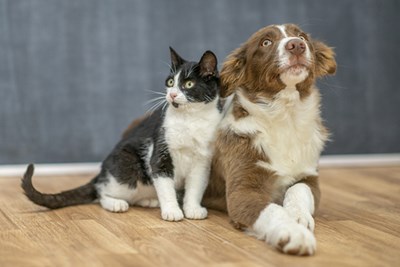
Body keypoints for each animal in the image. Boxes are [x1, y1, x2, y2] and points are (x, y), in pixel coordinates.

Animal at [21, 47, 223, 222]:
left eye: (189, 84)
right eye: (170, 82)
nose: (172, 94)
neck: (191, 119)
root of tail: (101, 172)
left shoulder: (203, 160)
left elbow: (196, 186)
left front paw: (193, 209)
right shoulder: (159, 152)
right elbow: (165, 186)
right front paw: (172, 211)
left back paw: (149, 200)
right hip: (127, 166)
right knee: (101, 191)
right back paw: (116, 203)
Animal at [203, 24, 338, 256]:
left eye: (302, 36)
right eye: (265, 42)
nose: (297, 45)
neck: (284, 116)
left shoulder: (309, 177)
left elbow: (298, 189)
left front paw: (297, 216)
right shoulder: (243, 190)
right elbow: (271, 210)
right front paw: (293, 233)